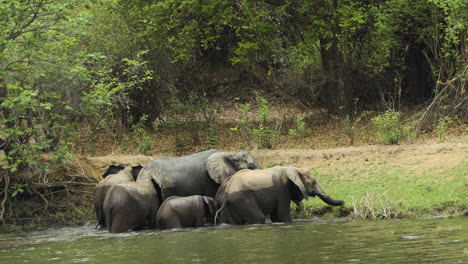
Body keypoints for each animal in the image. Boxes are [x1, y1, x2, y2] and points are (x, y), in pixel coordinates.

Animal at [215, 166, 344, 224]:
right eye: (312, 182)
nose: (344, 202)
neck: (293, 169)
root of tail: (227, 190)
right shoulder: (282, 190)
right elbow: (282, 217)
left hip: (230, 204)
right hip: (242, 199)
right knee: (259, 218)